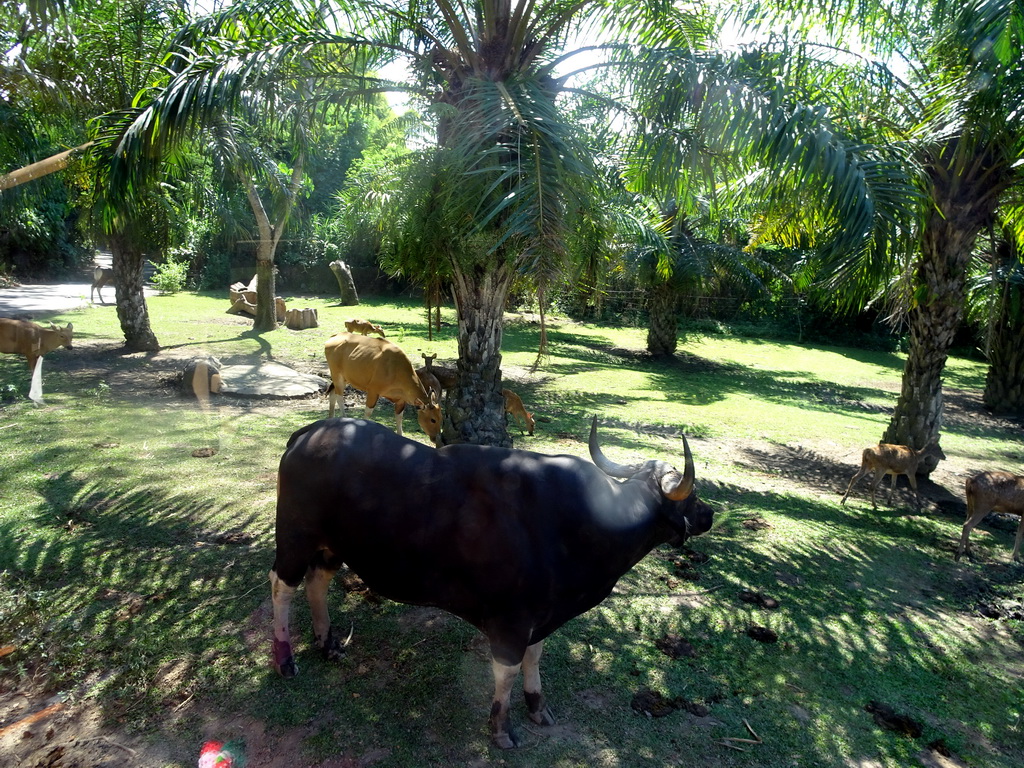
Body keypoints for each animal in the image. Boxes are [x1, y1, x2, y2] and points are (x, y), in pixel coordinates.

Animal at [270, 417, 712, 749]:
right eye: (690, 496)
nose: (708, 514)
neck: (587, 523)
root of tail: (308, 433)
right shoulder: (510, 621)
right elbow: (507, 672)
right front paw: (501, 729)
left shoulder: (543, 616)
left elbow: (535, 659)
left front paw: (538, 707)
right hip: (295, 537)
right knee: (282, 585)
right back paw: (285, 661)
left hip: (332, 546)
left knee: (317, 582)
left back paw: (328, 645)